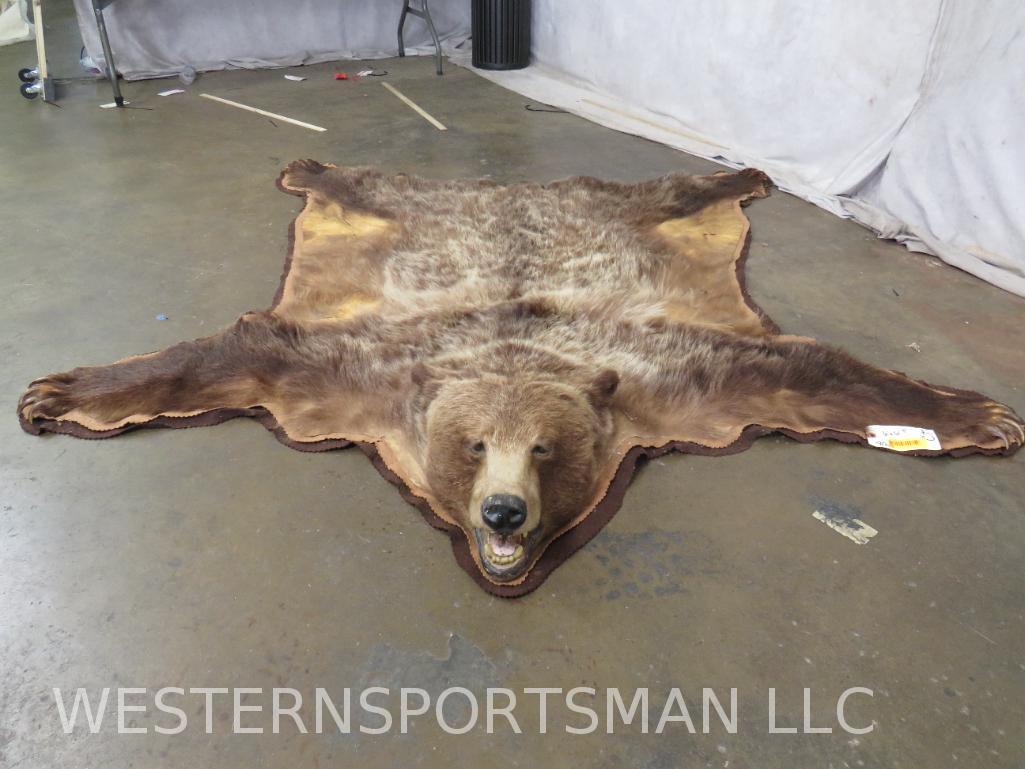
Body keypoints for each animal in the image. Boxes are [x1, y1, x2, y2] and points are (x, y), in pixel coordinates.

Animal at [18, 161, 1025, 594]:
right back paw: (309, 165)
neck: (510, 353)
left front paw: (977, 412)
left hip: (613, 212)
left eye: (544, 449)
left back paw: (733, 174)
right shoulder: (353, 370)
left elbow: (800, 362)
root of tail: (508, 187)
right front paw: (58, 392)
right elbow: (240, 348)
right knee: (373, 187)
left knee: (664, 193)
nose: (502, 514)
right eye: (472, 447)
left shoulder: (676, 376)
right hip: (416, 207)